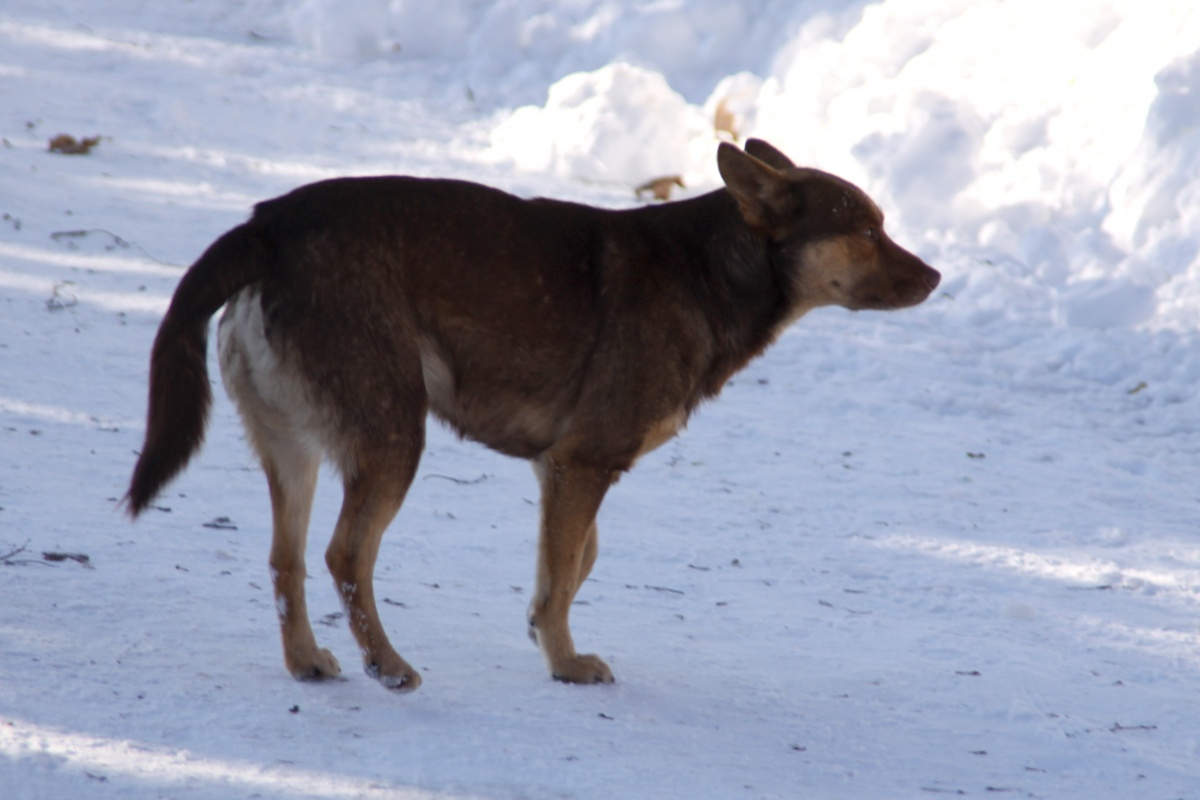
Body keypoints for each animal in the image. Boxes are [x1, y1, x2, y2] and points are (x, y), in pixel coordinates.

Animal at [126, 137, 940, 690]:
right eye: (866, 232)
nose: (935, 277)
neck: (713, 269)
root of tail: (268, 226)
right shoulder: (583, 463)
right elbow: (566, 569)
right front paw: (566, 659)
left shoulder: (567, 468)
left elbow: (575, 560)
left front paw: (548, 633)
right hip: (393, 432)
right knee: (345, 555)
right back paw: (387, 664)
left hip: (293, 446)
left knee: (285, 558)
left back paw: (307, 660)